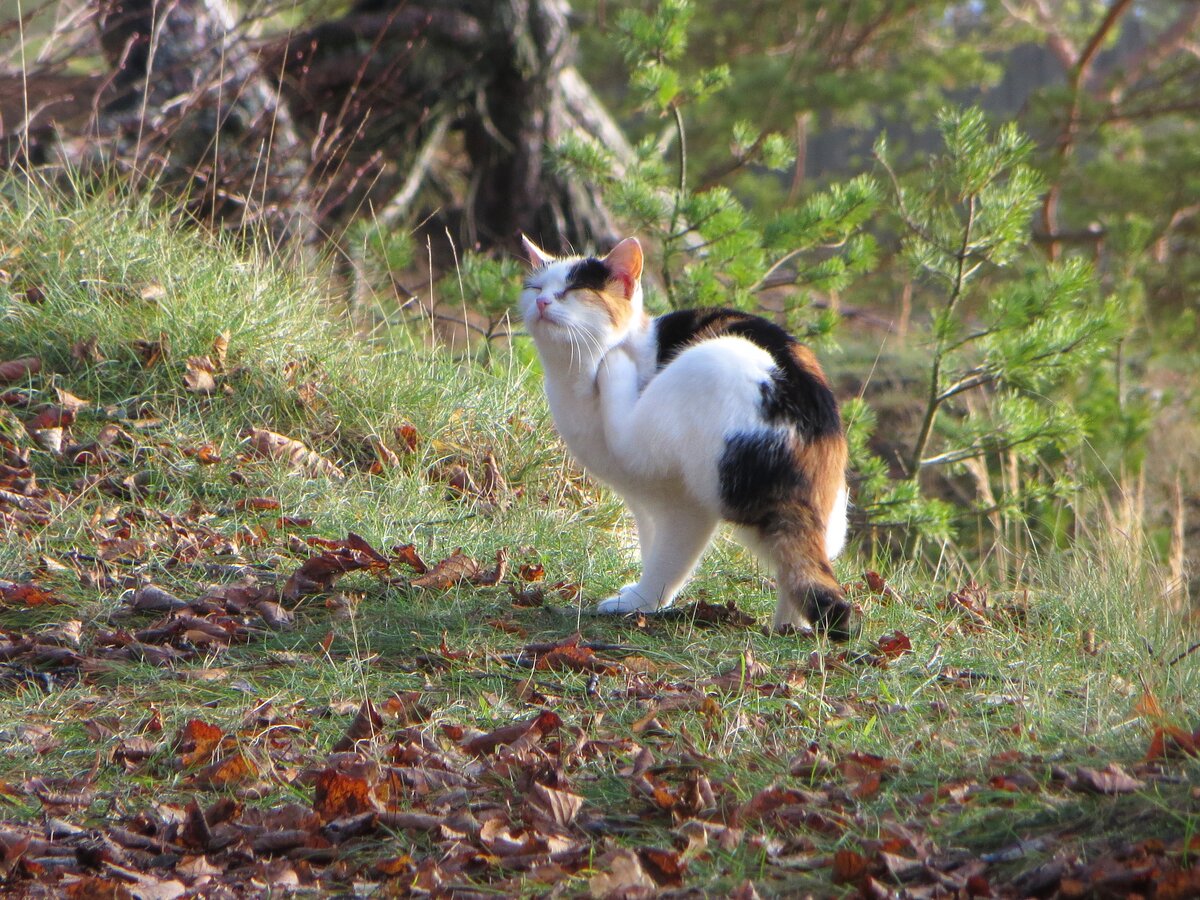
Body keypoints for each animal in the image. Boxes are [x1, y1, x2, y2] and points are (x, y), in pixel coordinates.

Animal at [516, 234, 854, 643]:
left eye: (572, 291)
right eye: (535, 287)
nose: (542, 302)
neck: (572, 380)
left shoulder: (682, 508)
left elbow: (668, 563)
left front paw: (641, 602)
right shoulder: (645, 503)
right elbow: (651, 548)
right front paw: (640, 599)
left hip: (703, 374)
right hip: (819, 519)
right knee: (798, 569)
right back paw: (789, 626)